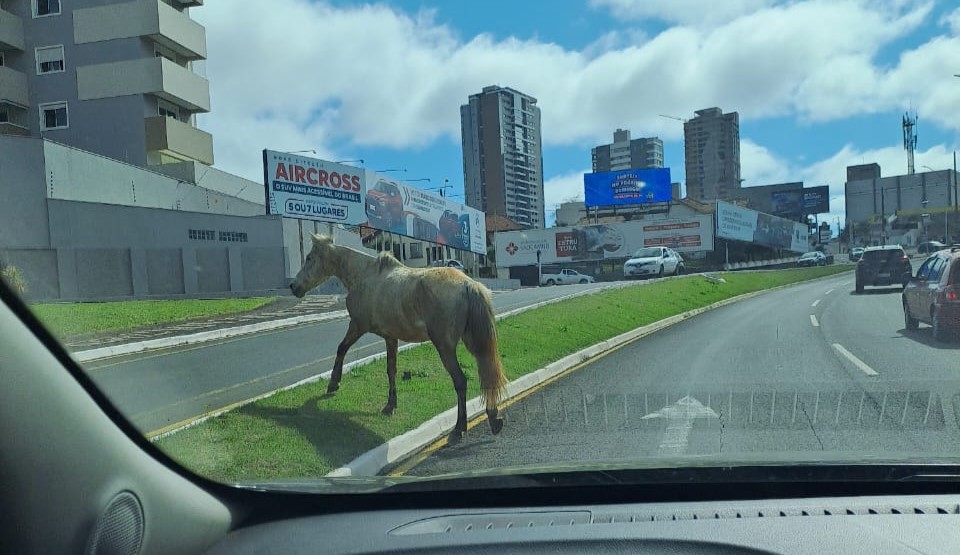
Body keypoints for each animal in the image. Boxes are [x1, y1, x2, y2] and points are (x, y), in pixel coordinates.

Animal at [286, 235, 506, 444]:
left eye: (309, 258)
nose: (293, 286)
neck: (365, 275)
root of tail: (469, 284)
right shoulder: (391, 338)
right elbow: (391, 369)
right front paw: (390, 405)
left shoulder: (357, 326)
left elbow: (342, 348)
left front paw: (333, 383)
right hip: (474, 344)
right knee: (487, 374)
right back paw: (493, 419)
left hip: (445, 347)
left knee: (461, 381)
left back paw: (459, 429)